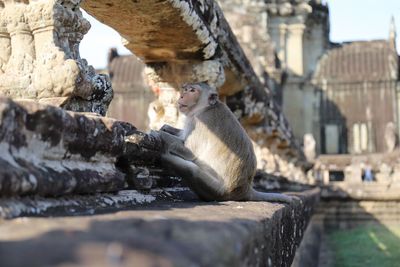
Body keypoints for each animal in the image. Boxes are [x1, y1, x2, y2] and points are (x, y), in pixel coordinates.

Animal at [155, 82, 296, 203]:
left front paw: (158, 134)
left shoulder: (202, 121)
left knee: (191, 169)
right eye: (185, 89)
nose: (182, 96)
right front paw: (165, 128)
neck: (206, 107)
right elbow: (182, 136)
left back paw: (166, 158)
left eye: (192, 90)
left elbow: (190, 152)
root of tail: (246, 190)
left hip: (219, 190)